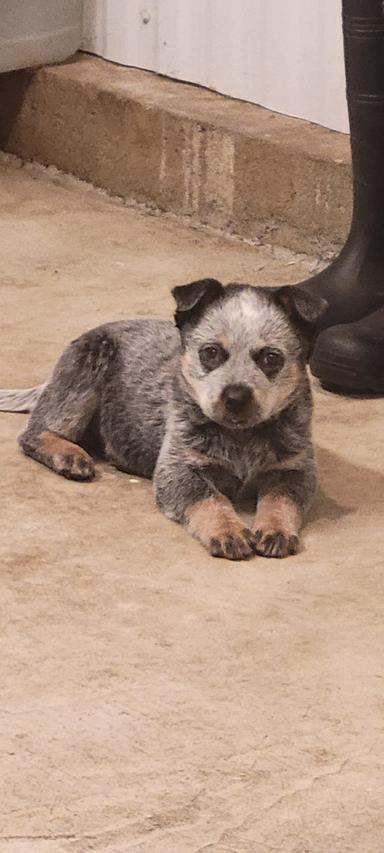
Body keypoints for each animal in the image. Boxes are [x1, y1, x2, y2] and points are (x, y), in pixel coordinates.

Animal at [0, 280, 326, 560]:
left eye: (271, 358)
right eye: (211, 352)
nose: (235, 397)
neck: (242, 437)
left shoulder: (294, 469)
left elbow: (281, 500)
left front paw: (276, 528)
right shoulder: (178, 468)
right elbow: (210, 498)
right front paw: (227, 529)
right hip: (87, 364)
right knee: (35, 432)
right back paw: (69, 455)